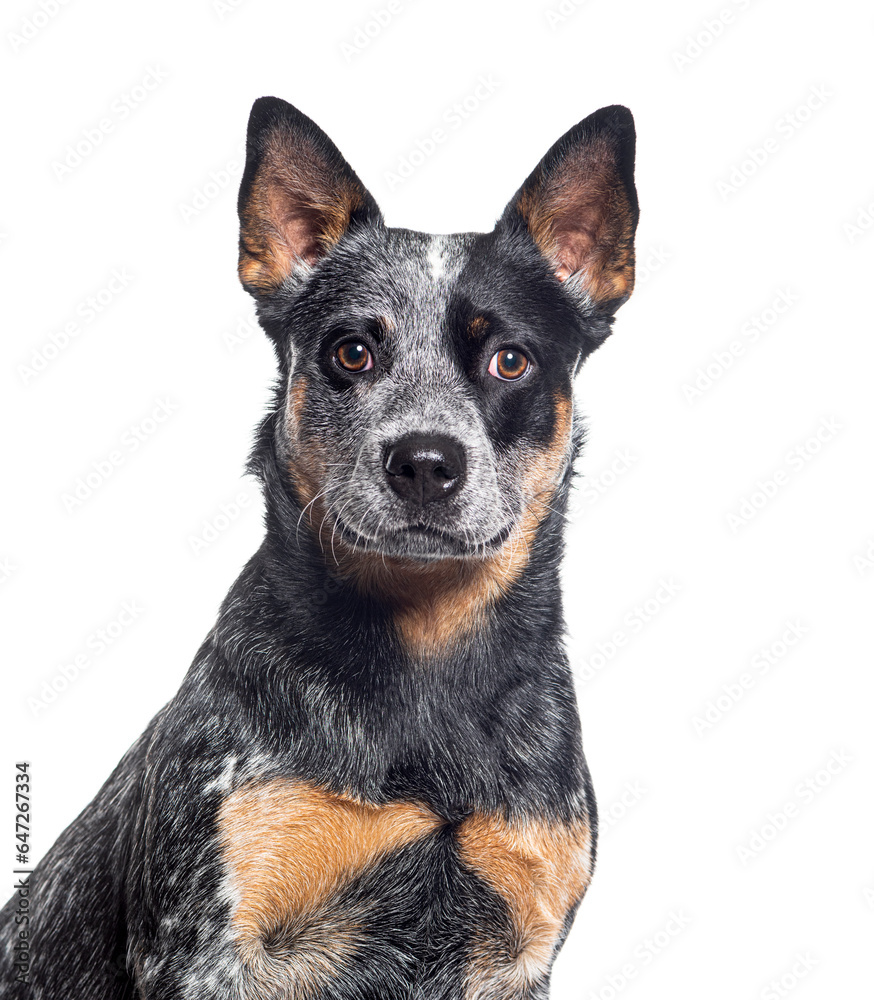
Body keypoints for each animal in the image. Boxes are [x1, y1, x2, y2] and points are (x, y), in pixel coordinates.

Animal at [3, 95, 636, 1000]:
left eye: (511, 360)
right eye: (352, 351)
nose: (425, 462)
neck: (423, 665)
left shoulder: (520, 946)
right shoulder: (208, 946)